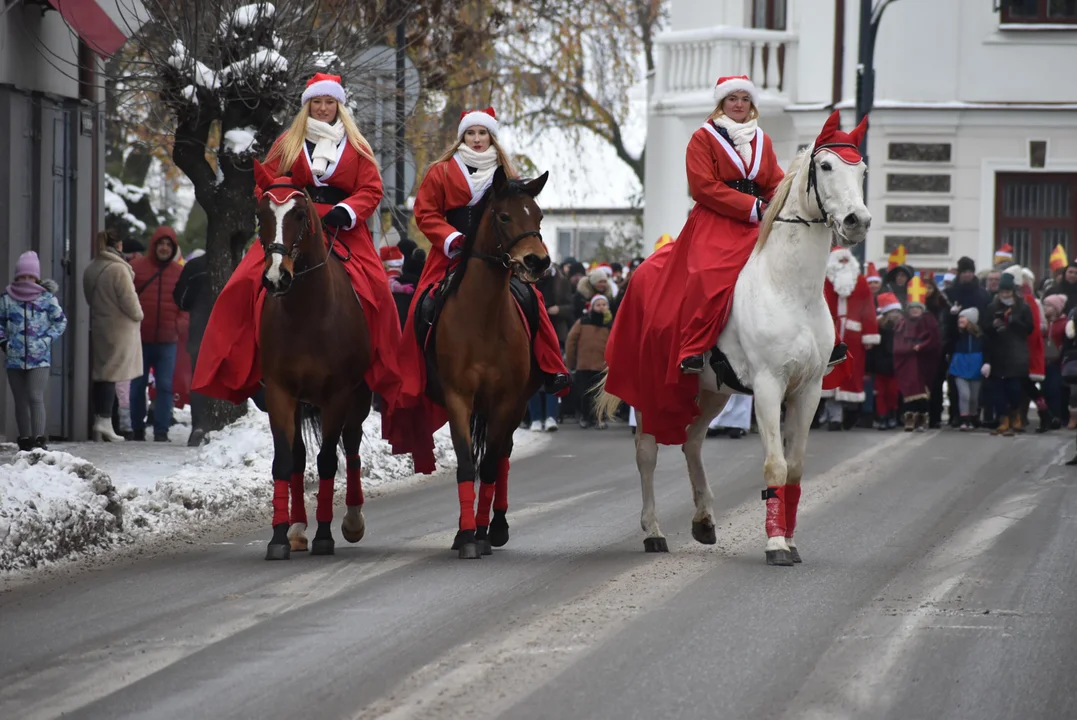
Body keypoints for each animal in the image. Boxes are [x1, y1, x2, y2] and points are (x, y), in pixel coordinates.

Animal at [255, 171, 370, 559]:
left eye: (300, 214)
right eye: (260, 214)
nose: (276, 277)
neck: (306, 313)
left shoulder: (337, 395)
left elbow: (328, 461)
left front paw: (324, 535)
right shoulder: (280, 392)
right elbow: (284, 460)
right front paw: (280, 536)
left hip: (360, 397)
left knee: (352, 446)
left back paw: (352, 520)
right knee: (299, 455)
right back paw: (297, 529)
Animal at [428, 165, 551, 559]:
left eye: (539, 216)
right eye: (504, 216)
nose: (537, 261)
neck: (482, 316)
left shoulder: (507, 400)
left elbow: (491, 466)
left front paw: (482, 532)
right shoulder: (458, 397)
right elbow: (467, 465)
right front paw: (466, 535)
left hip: (515, 406)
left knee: (502, 457)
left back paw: (494, 526)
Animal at [594, 109, 870, 563]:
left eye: (862, 169)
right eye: (827, 166)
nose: (857, 222)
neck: (790, 288)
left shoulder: (808, 388)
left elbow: (795, 468)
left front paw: (790, 539)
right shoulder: (769, 385)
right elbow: (775, 465)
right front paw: (776, 544)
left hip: (710, 391)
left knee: (691, 443)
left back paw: (704, 521)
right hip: (649, 386)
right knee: (647, 453)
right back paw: (653, 532)